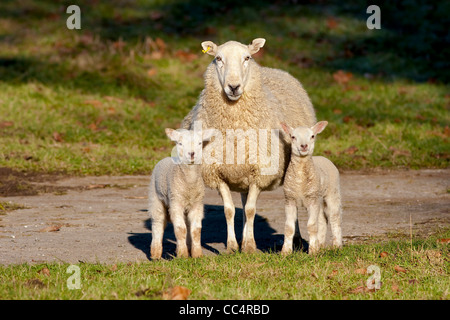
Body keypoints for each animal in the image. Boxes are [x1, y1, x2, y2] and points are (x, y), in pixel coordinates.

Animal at [147, 127, 212, 260]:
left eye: (200, 143)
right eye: (180, 143)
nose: (192, 154)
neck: (189, 184)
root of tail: (166, 158)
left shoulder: (197, 204)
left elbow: (196, 230)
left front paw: (197, 255)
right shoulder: (175, 202)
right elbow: (180, 229)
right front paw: (182, 255)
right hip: (154, 196)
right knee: (157, 223)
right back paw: (155, 254)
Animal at [280, 121, 342, 254]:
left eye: (312, 136)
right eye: (293, 137)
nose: (304, 146)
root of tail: (323, 157)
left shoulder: (312, 199)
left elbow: (312, 226)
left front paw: (313, 252)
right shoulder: (290, 199)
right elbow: (289, 227)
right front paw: (285, 252)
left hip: (332, 191)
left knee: (335, 218)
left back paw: (337, 246)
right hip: (317, 196)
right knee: (322, 220)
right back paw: (321, 245)